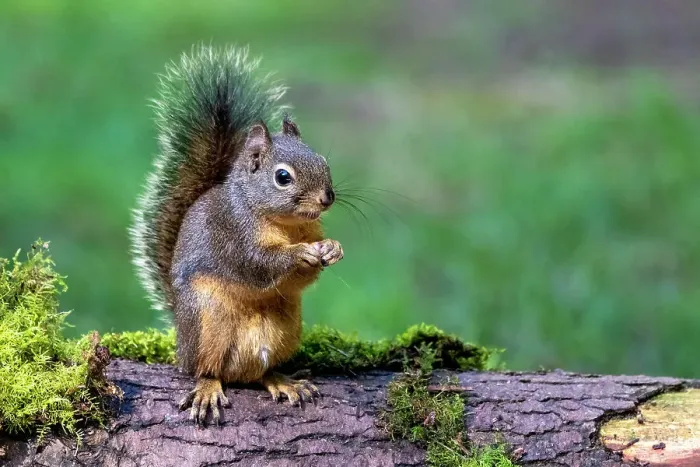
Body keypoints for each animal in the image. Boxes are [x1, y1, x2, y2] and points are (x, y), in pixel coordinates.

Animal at [130, 45, 344, 425]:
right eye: (283, 177)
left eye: (323, 161)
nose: (327, 198)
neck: (286, 224)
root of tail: (181, 341)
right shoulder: (233, 233)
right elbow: (258, 264)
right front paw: (300, 253)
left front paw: (331, 248)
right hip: (206, 324)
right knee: (207, 369)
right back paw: (207, 388)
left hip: (285, 329)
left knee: (260, 372)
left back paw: (282, 380)